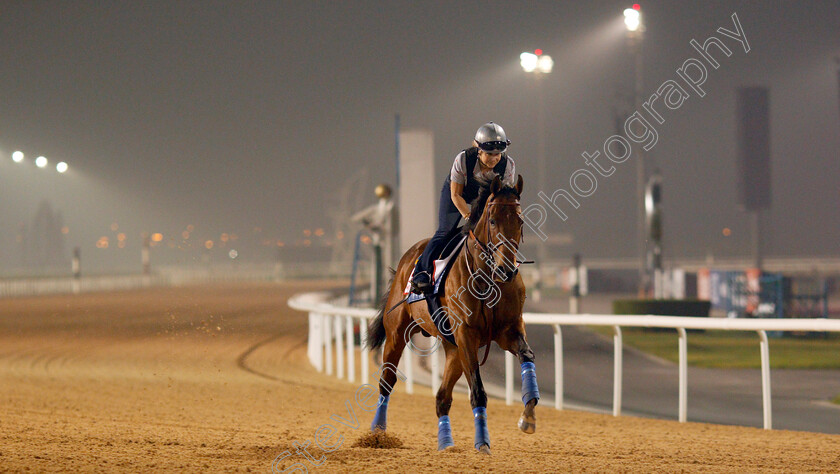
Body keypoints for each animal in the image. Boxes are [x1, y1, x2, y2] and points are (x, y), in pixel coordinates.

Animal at [366, 175, 540, 456]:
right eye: (493, 220)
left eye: (520, 221)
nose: (506, 270)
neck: (487, 278)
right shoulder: (467, 335)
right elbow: (478, 391)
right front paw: (482, 443)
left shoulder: (508, 330)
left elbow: (527, 356)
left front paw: (528, 417)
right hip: (397, 334)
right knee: (387, 381)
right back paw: (377, 434)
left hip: (453, 349)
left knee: (442, 397)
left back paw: (446, 444)